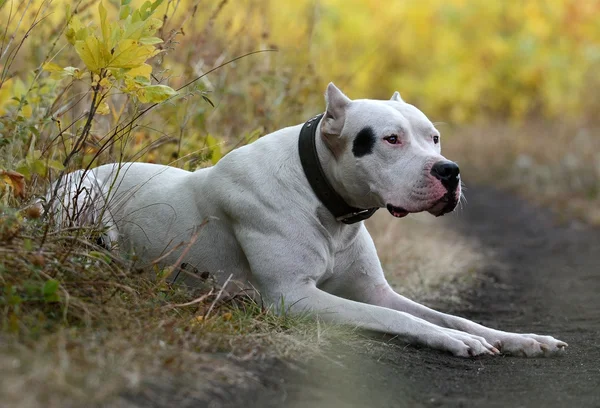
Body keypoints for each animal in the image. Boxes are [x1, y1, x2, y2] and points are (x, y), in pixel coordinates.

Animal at [50, 83, 568, 356]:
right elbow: (395, 317)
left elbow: (448, 314)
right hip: (88, 201)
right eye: (391, 139)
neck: (326, 202)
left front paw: (520, 338)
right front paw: (453, 341)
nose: (450, 171)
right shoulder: (293, 298)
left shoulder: (375, 289)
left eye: (435, 137)